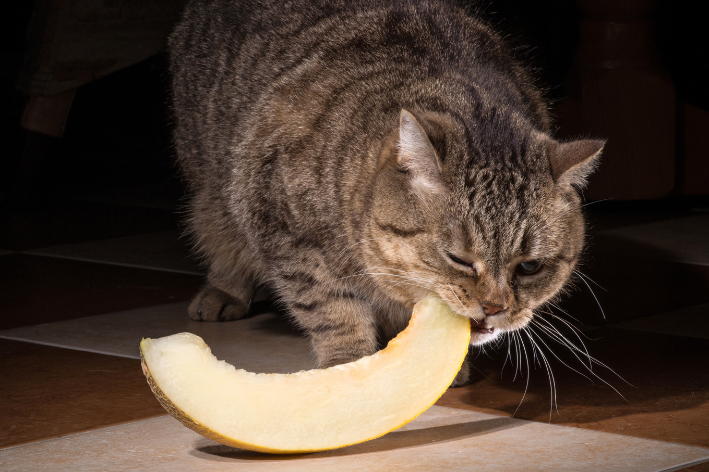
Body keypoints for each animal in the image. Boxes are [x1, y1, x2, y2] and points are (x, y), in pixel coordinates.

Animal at [169, 0, 600, 386]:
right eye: (458, 259)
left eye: (530, 267)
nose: (494, 306)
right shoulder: (286, 232)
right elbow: (331, 310)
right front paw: (349, 363)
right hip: (211, 181)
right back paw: (224, 289)